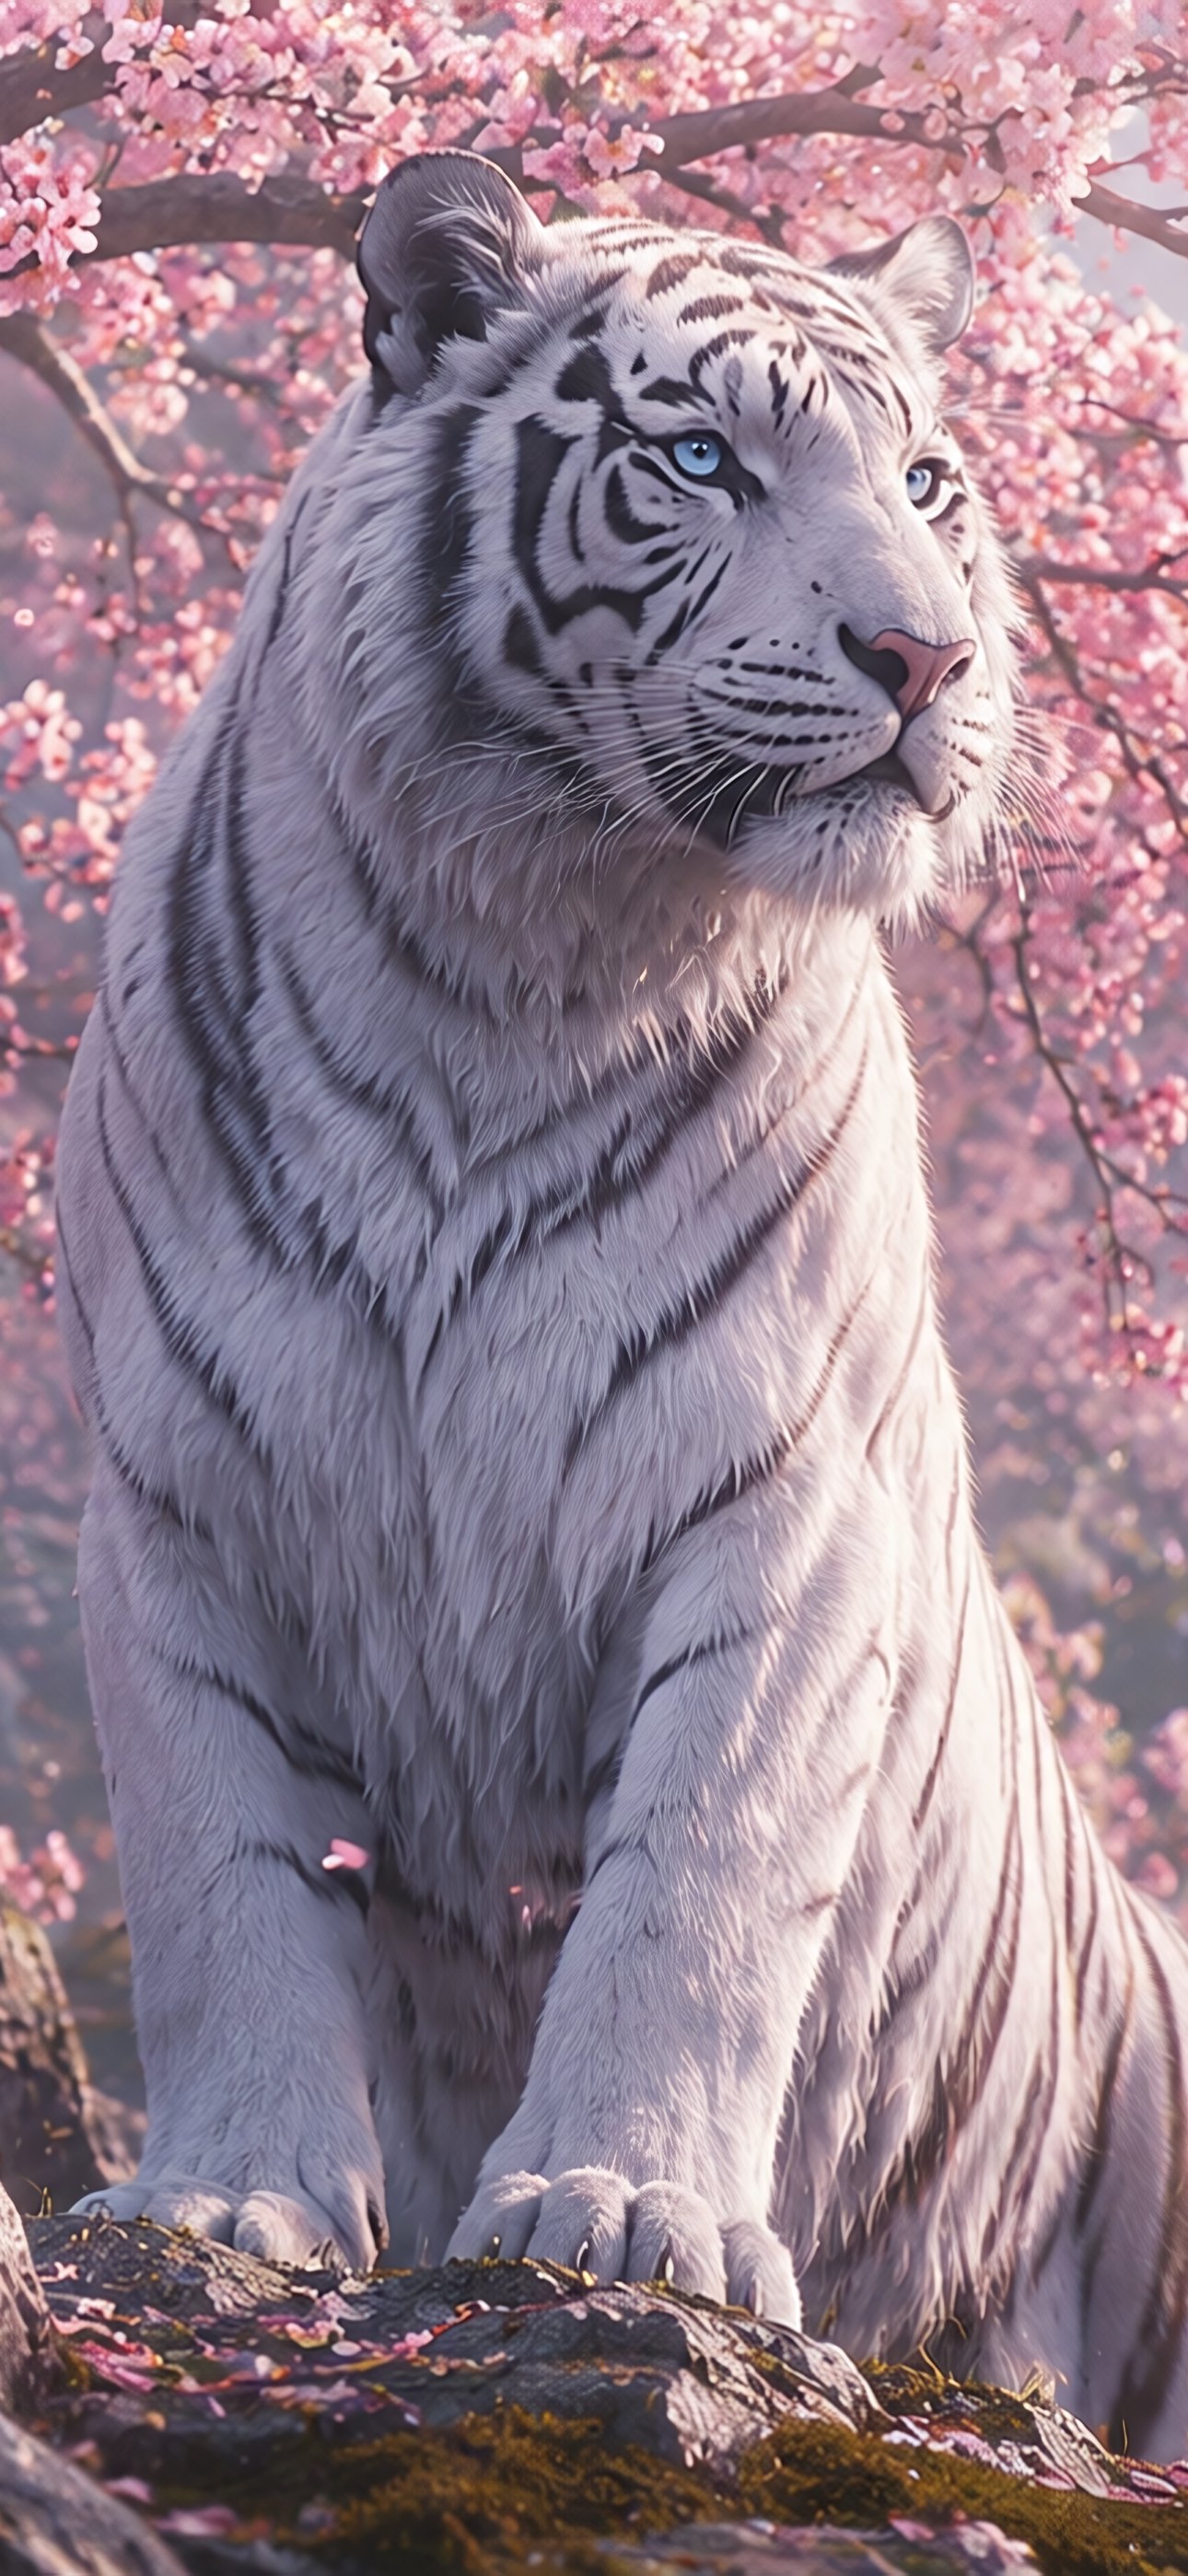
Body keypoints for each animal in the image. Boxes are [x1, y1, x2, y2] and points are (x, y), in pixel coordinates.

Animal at [54, 148, 1188, 2460]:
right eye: (698, 461)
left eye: (926, 478)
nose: (926, 655)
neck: (515, 949)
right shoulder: (174, 1504)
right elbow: (221, 1873)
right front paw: (226, 2200)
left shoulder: (783, 1510)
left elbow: (700, 1881)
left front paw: (622, 2214)